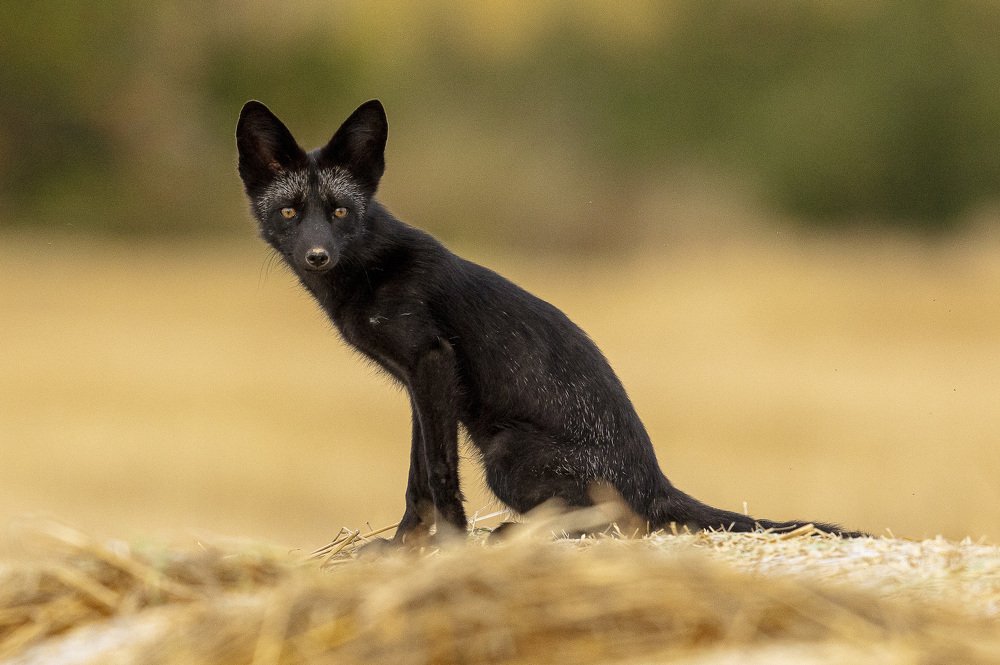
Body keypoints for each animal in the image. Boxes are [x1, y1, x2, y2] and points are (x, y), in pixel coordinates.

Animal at [236, 99, 862, 543]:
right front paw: (401, 549)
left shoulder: (431, 362)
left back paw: (513, 534)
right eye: (290, 212)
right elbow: (416, 480)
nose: (317, 255)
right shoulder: (417, 382)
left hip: (507, 458)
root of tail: (655, 479)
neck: (369, 272)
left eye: (340, 212)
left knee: (619, 520)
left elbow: (438, 475)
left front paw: (448, 547)